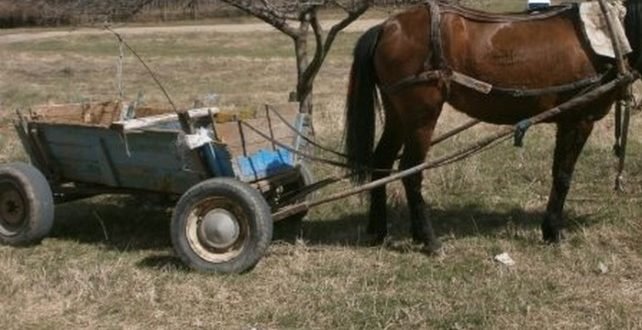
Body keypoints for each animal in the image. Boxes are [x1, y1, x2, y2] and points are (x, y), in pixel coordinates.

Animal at [342, 0, 636, 251]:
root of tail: (387, 26)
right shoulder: (578, 119)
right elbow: (563, 176)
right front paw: (553, 232)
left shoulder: (568, 121)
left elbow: (559, 173)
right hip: (421, 116)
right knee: (411, 171)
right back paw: (429, 240)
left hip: (397, 114)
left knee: (382, 162)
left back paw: (379, 231)